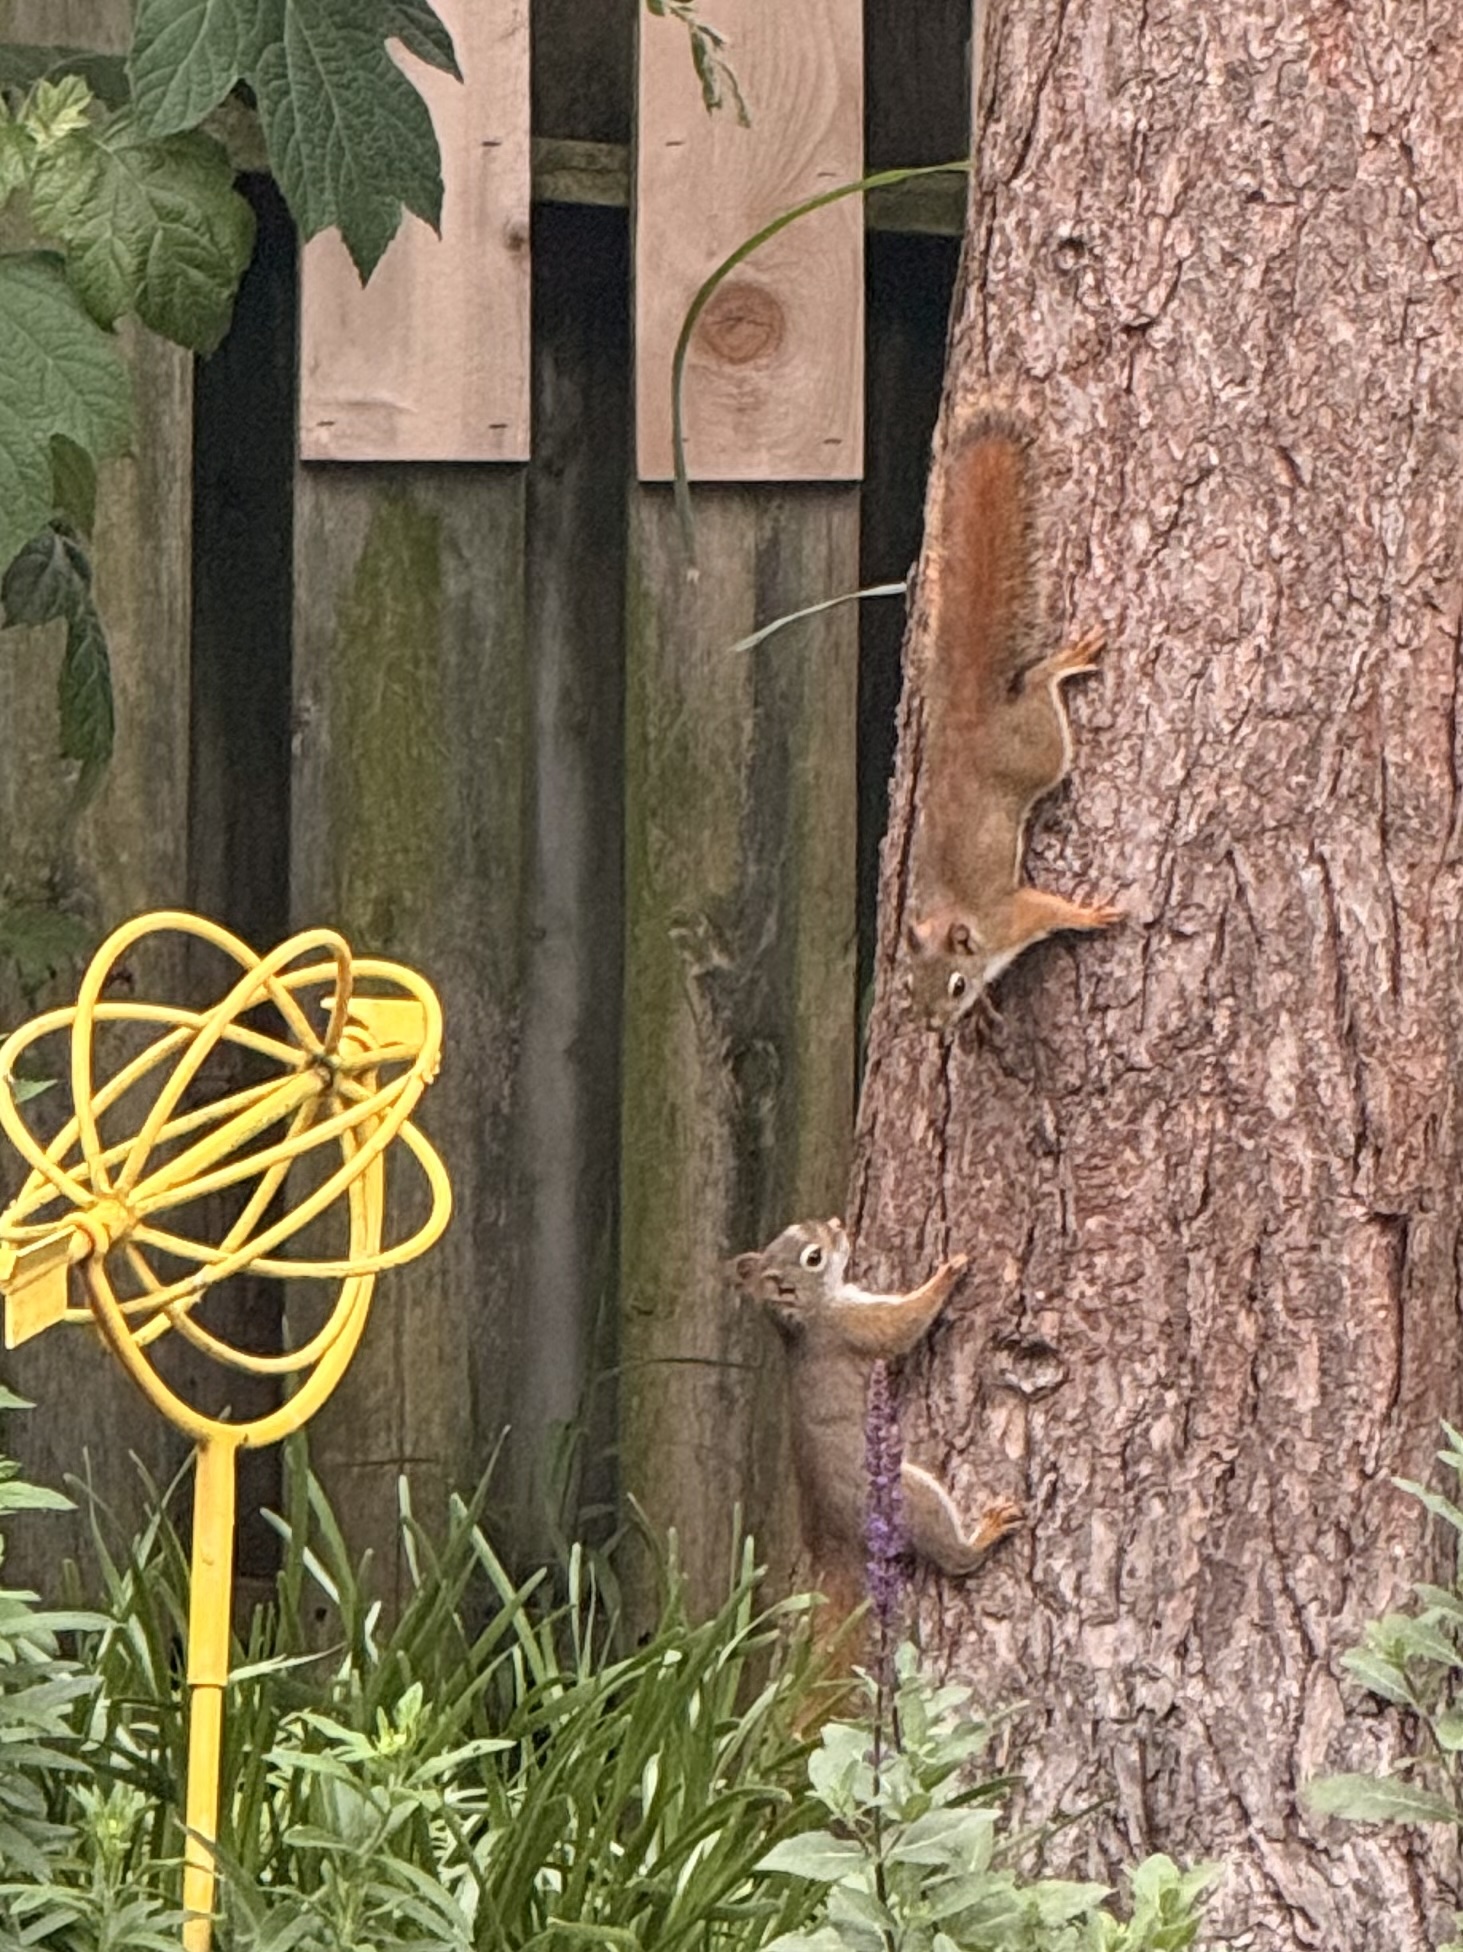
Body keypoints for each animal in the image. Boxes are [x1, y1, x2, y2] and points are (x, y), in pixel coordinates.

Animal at [731, 1217, 1021, 1593]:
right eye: (814, 1257)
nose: (837, 1224)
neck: (809, 1313)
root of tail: (838, 1537)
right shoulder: (850, 1325)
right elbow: (900, 1325)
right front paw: (946, 1275)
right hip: (905, 1497)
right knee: (952, 1554)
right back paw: (984, 1536)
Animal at [901, 407, 1121, 1032]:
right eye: (909, 984)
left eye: (954, 983)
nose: (934, 1025)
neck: (957, 917)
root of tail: (967, 719)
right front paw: (986, 1008)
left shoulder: (1008, 917)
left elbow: (1042, 911)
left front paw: (1088, 914)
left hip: (1036, 751)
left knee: (1042, 698)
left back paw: (1060, 664)